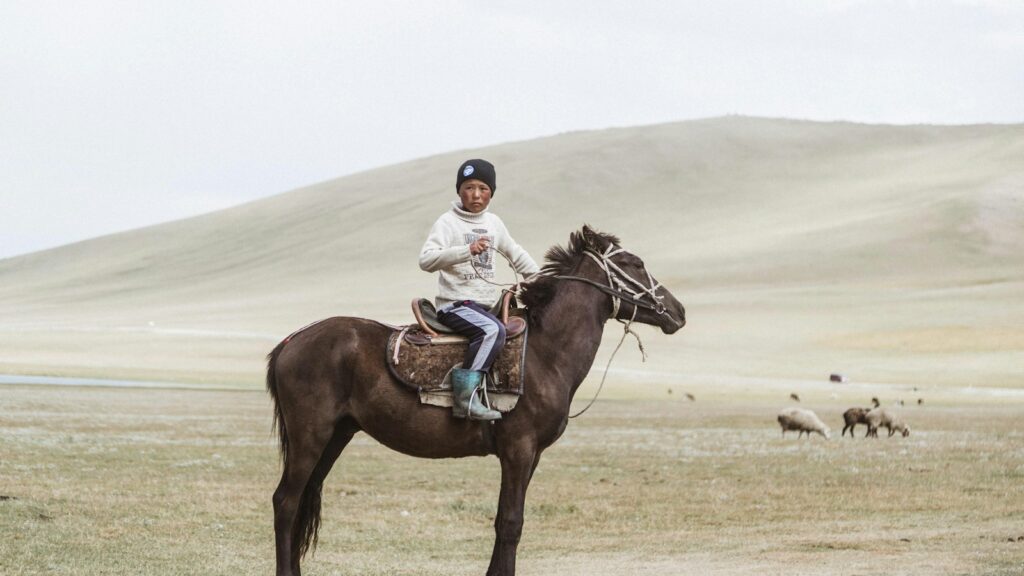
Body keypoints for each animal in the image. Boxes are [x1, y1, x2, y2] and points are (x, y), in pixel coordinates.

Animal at [266, 225, 686, 576]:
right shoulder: (518, 448)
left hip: (336, 435)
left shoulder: (531, 454)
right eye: (635, 263)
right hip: (310, 436)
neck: (545, 352)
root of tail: (291, 341)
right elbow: (511, 522)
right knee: (286, 502)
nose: (678, 311)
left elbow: (506, 521)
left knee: (302, 500)